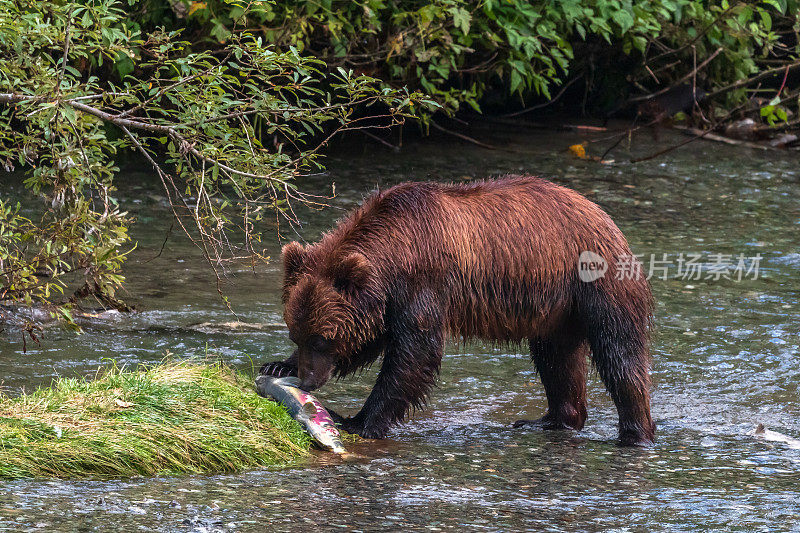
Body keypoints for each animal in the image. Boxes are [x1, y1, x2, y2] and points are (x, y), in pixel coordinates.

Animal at [262, 175, 656, 444]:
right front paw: (277, 364)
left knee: (619, 353)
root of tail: (602, 214)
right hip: (555, 310)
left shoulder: (420, 284)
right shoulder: (385, 302)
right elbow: (371, 339)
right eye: (297, 334)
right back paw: (549, 420)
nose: (309, 380)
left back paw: (635, 434)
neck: (391, 250)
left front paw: (359, 420)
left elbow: (415, 353)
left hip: (593, 283)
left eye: (323, 338)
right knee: (556, 358)